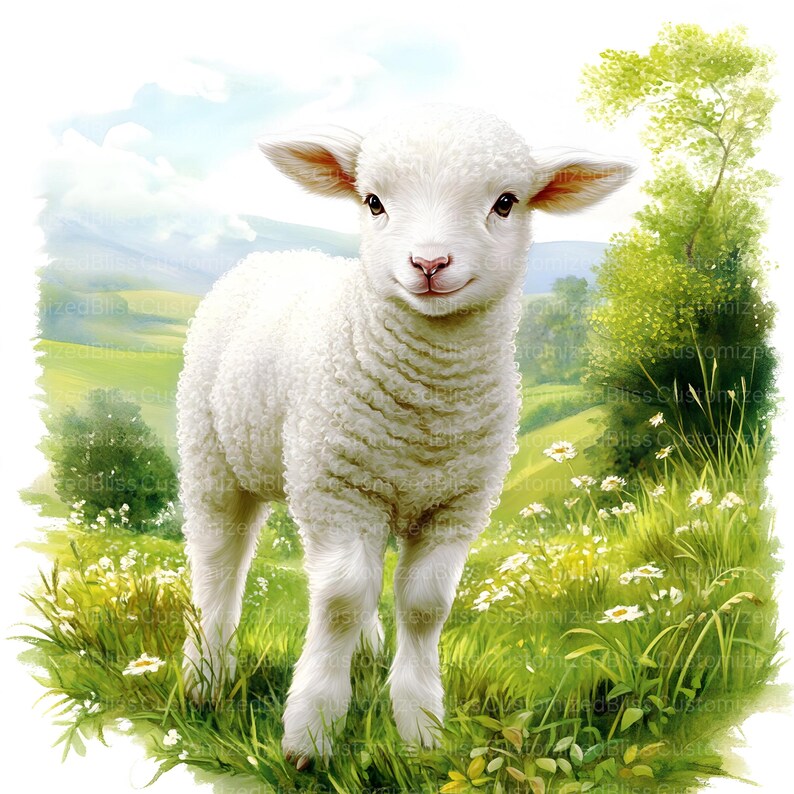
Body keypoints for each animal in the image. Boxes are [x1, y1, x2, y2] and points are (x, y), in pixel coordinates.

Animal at [177, 104, 634, 768]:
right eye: (373, 202)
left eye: (505, 202)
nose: (429, 264)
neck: (427, 411)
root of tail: (276, 254)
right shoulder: (340, 491)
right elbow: (340, 600)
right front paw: (310, 734)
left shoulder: (456, 503)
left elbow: (424, 605)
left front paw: (421, 729)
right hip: (216, 456)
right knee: (219, 564)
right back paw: (205, 676)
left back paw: (362, 654)